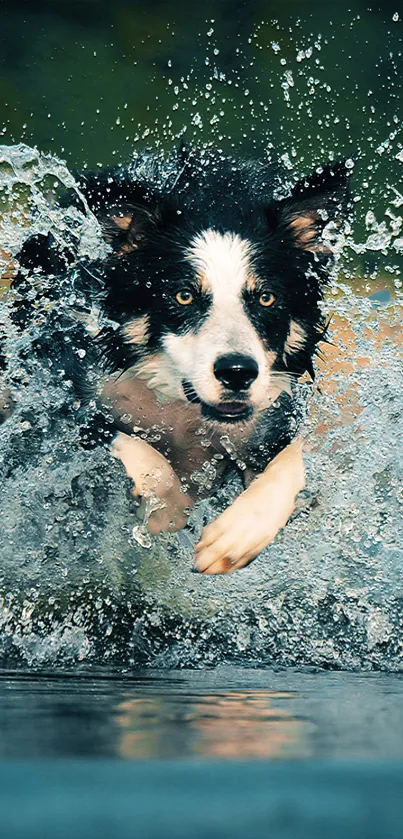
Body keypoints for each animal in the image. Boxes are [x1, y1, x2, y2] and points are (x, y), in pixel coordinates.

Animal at [2, 148, 350, 576]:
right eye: (183, 296)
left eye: (266, 298)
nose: (238, 372)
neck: (181, 408)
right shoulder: (56, 394)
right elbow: (130, 446)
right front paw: (167, 512)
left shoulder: (271, 412)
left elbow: (292, 461)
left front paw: (236, 536)